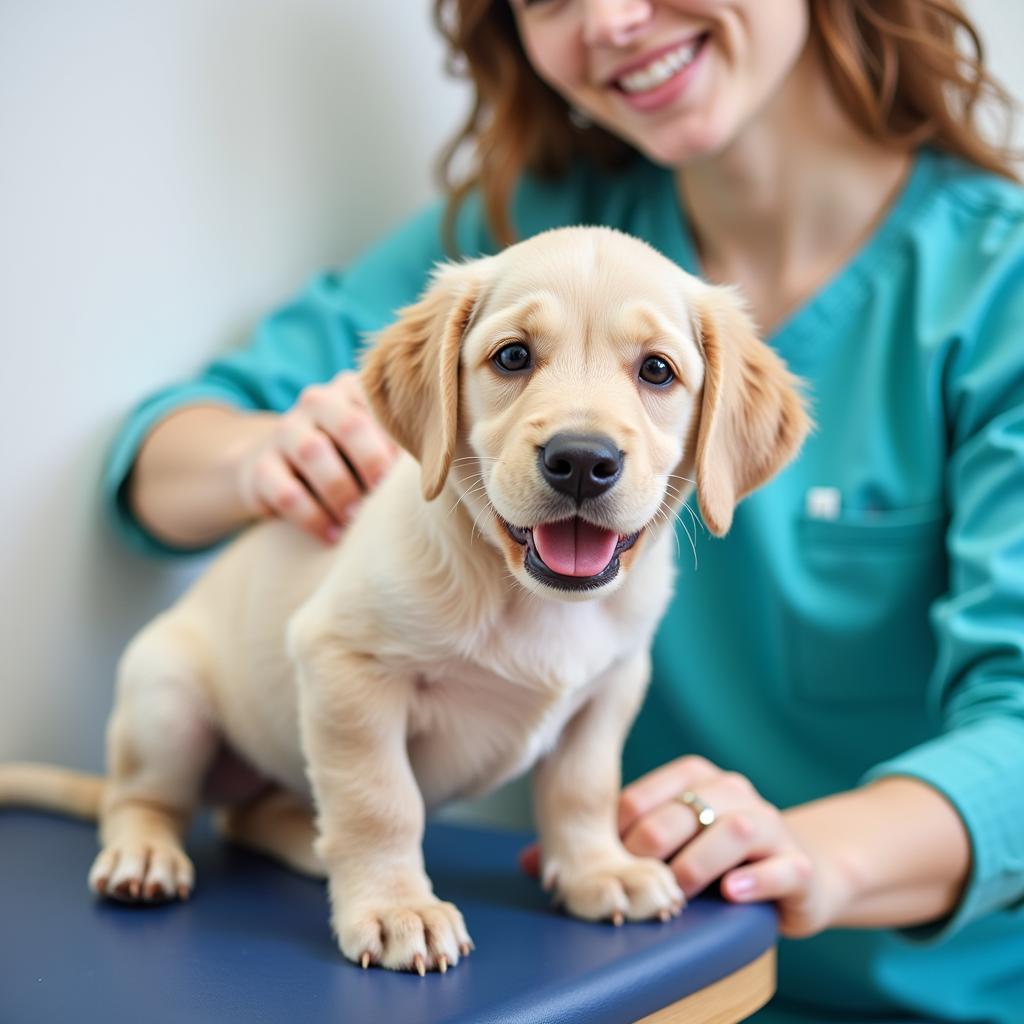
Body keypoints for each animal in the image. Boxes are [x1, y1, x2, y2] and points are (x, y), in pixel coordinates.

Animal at [2, 226, 815, 974]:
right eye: (512, 357)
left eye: (656, 370)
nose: (582, 460)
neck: (527, 595)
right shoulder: (346, 665)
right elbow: (379, 801)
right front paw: (398, 909)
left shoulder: (613, 685)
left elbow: (583, 787)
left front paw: (599, 869)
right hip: (164, 699)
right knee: (143, 799)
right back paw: (144, 855)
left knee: (246, 813)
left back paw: (308, 840)